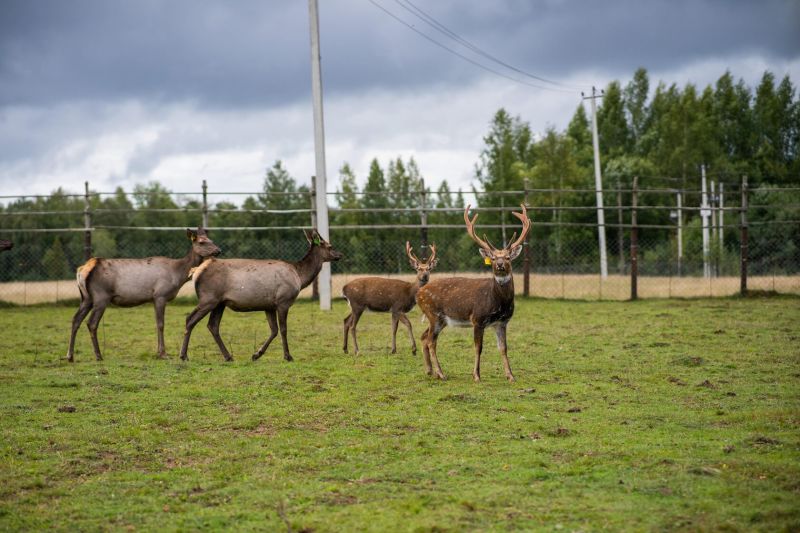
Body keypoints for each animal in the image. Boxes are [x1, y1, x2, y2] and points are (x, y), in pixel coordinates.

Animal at [66, 228, 220, 362]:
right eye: (201, 242)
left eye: (210, 239)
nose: (218, 250)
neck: (178, 275)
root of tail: (83, 269)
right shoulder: (160, 295)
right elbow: (161, 324)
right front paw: (163, 353)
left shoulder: (153, 298)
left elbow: (157, 323)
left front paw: (159, 352)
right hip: (101, 296)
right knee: (91, 323)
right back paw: (98, 355)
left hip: (86, 298)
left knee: (75, 319)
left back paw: (70, 356)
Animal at [180, 228, 342, 362]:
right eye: (330, 246)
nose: (340, 254)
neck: (299, 277)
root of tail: (196, 271)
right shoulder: (283, 301)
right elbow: (283, 329)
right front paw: (288, 356)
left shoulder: (269, 305)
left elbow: (274, 330)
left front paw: (256, 354)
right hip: (208, 298)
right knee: (190, 319)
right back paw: (184, 355)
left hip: (219, 302)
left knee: (212, 325)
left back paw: (228, 356)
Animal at [412, 205, 532, 382]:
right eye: (493, 258)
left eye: (508, 257)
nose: (500, 265)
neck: (498, 302)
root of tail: (419, 293)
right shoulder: (477, 318)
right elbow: (478, 347)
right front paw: (476, 375)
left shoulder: (502, 322)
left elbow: (503, 348)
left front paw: (510, 375)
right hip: (433, 314)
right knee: (431, 341)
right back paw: (441, 373)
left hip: (438, 319)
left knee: (424, 337)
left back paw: (430, 371)